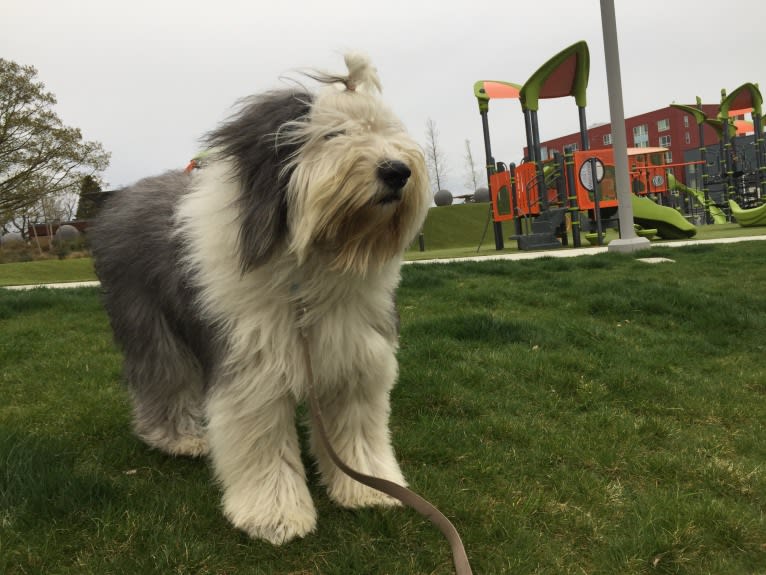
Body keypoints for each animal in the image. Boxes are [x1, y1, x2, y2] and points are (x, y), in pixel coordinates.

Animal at [90, 54, 432, 544]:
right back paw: (178, 438)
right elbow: (263, 441)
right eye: (332, 135)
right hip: (148, 319)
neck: (311, 266)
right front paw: (276, 515)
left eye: (386, 130)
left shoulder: (356, 358)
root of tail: (119, 200)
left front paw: (370, 487)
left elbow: (358, 428)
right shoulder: (254, 366)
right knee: (163, 377)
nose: (397, 171)